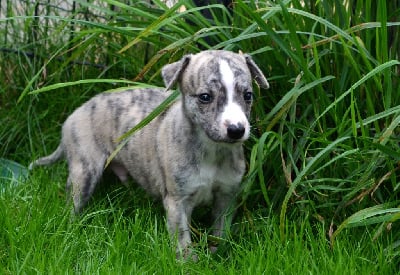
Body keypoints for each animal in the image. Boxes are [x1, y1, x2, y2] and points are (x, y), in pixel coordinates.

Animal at [29, 50, 268, 260]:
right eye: (205, 97)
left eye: (248, 95)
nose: (236, 130)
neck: (211, 150)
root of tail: (74, 116)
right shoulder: (177, 201)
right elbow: (182, 238)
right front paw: (188, 263)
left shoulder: (226, 197)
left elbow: (221, 232)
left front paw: (218, 255)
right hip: (84, 172)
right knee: (73, 203)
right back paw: (69, 229)